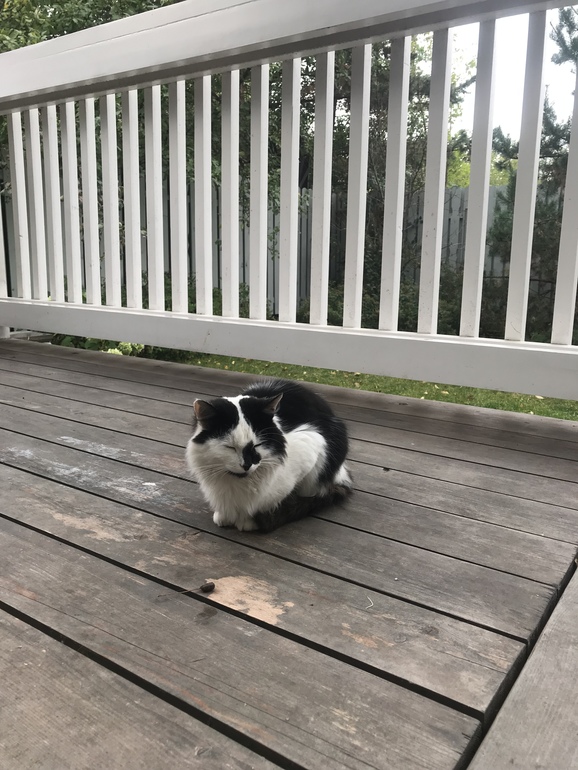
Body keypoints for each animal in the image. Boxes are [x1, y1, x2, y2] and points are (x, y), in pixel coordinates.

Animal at [185, 378, 352, 532]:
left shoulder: (311, 443)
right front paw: (224, 515)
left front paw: (247, 520)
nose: (247, 465)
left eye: (257, 445)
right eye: (230, 447)